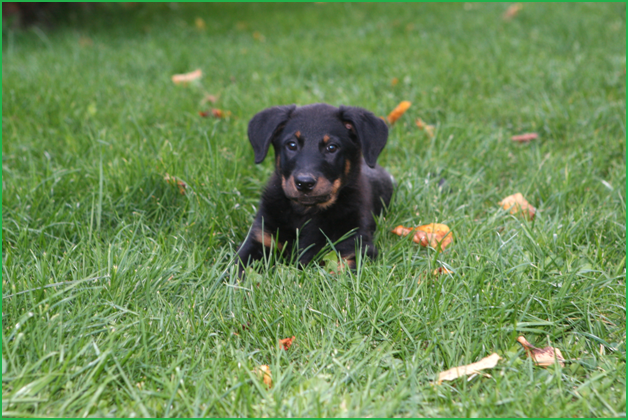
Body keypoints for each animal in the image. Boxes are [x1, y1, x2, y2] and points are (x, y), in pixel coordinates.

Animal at [238, 104, 394, 276]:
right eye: (292, 145)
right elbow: (241, 269)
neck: (307, 213)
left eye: (332, 147)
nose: (304, 183)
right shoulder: (260, 239)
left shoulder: (355, 247)